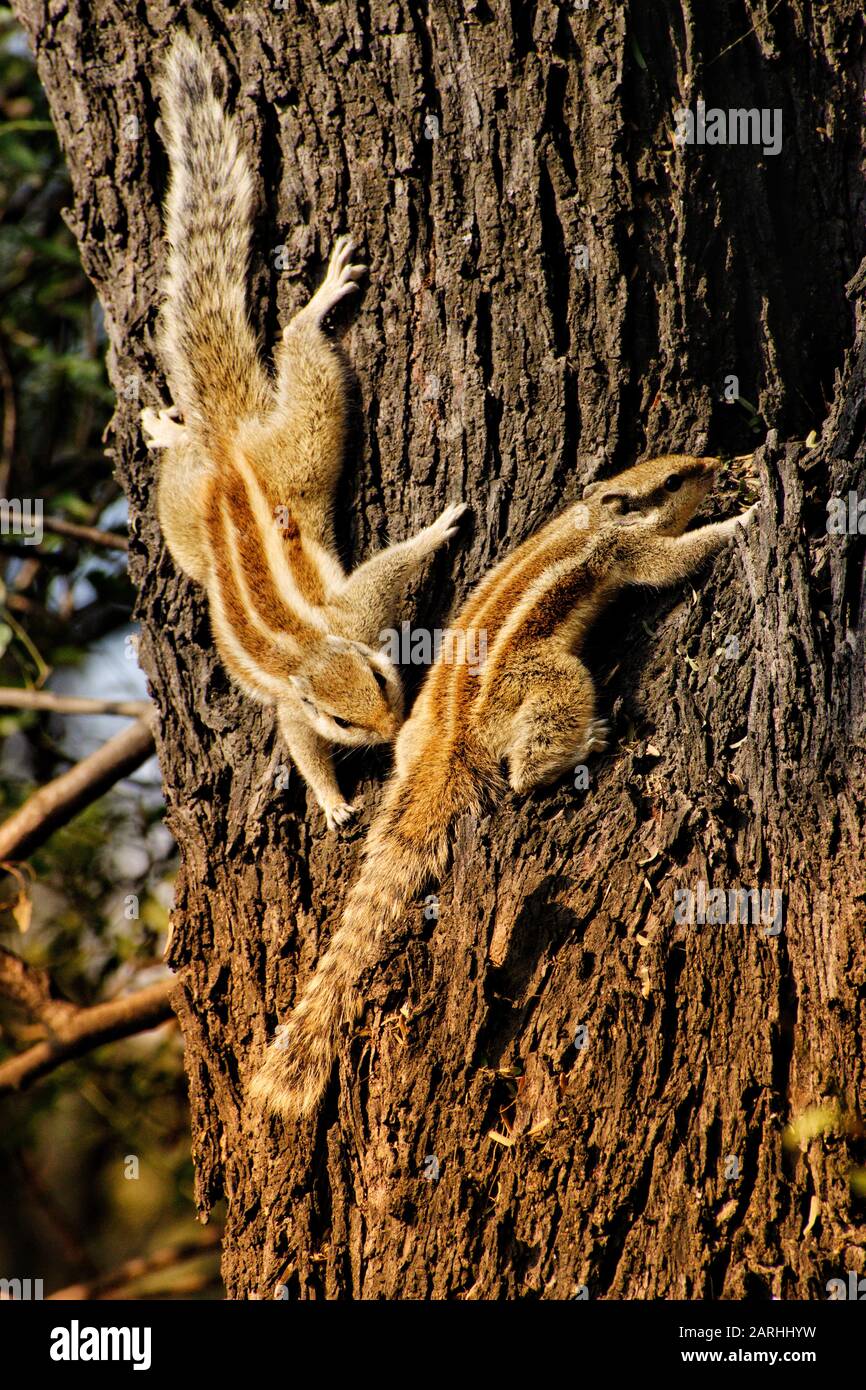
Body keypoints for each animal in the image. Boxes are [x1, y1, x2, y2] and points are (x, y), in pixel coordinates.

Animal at [140, 34, 467, 829]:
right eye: (343, 719)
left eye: (383, 677)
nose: (391, 730)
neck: (312, 650)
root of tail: (230, 452)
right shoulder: (300, 700)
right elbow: (299, 743)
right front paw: (334, 803)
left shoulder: (359, 614)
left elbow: (389, 569)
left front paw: (436, 528)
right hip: (216, 502)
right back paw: (173, 422)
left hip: (301, 444)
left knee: (293, 351)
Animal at [250, 453, 759, 1117]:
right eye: (672, 481)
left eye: (677, 464)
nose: (715, 464)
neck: (594, 514)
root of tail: (449, 739)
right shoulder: (633, 553)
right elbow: (679, 557)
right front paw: (743, 518)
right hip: (551, 676)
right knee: (525, 768)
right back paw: (584, 745)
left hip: (414, 731)